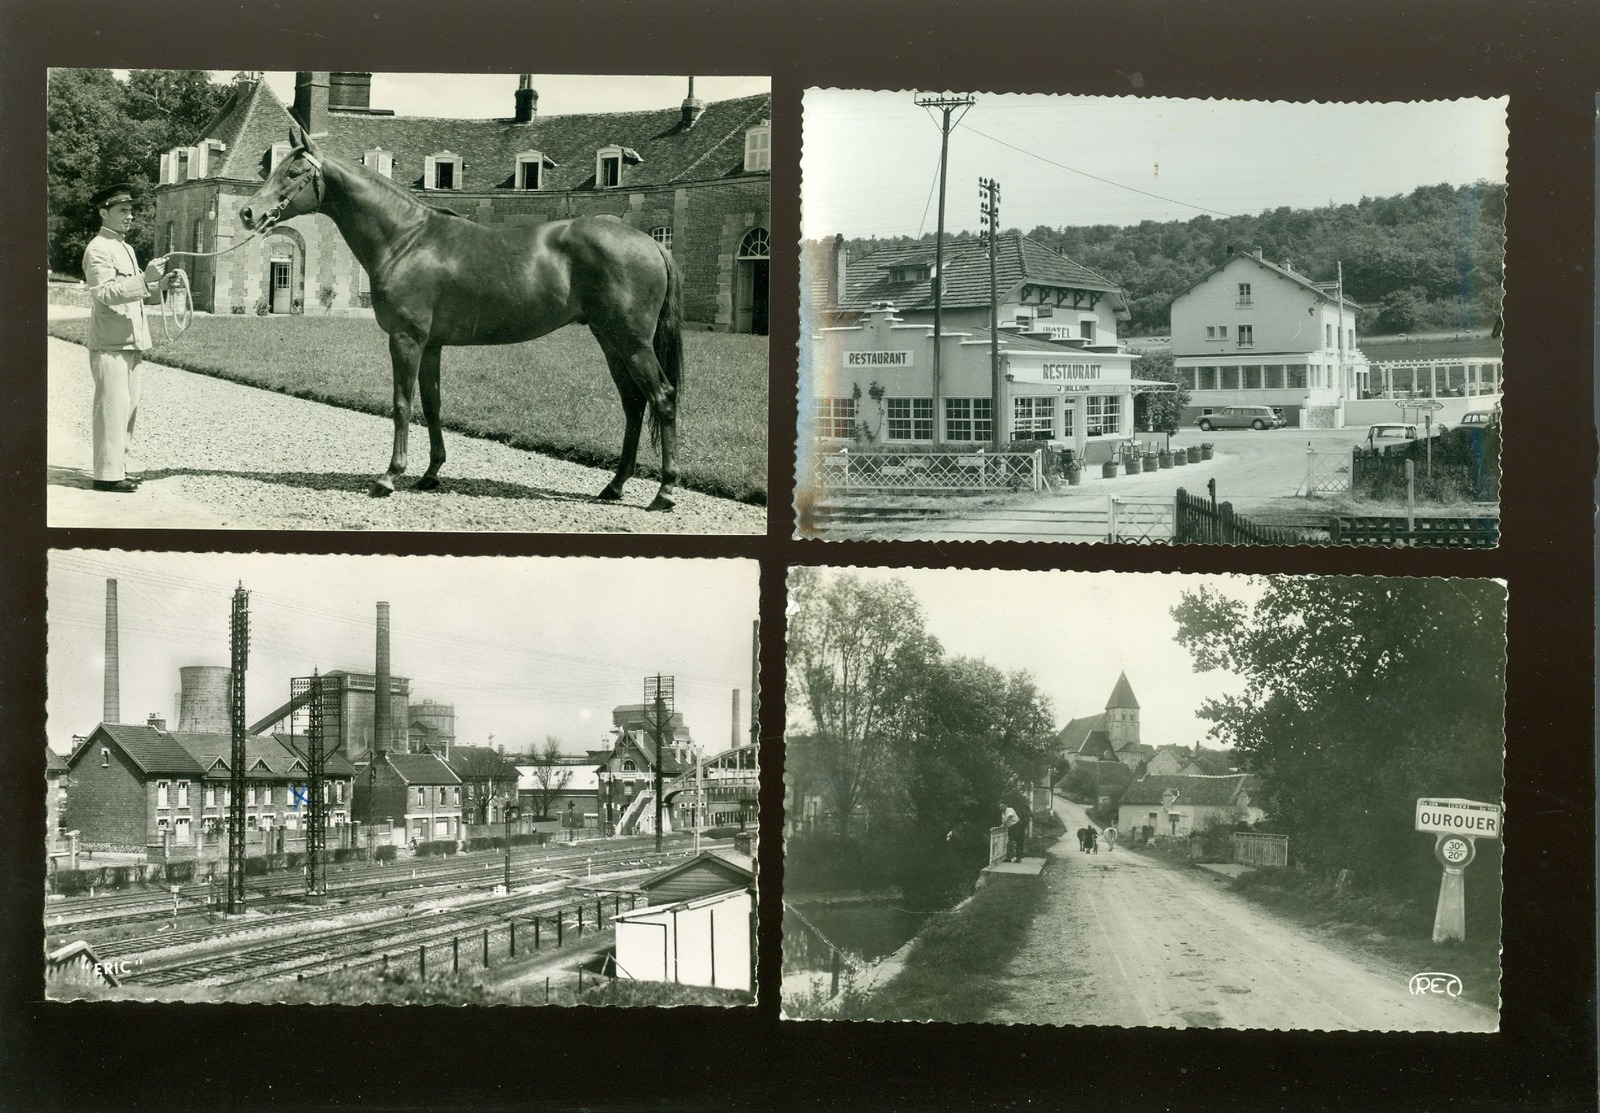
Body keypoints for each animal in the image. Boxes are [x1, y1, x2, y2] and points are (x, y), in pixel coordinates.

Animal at [238, 124, 681, 505]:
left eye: (294, 171)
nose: (247, 213)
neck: (406, 239)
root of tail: (652, 244)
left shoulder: (406, 339)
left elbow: (402, 403)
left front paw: (390, 476)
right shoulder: (431, 344)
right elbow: (432, 404)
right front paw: (431, 473)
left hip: (631, 342)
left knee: (662, 397)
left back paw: (664, 492)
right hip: (610, 341)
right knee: (633, 404)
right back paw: (615, 485)